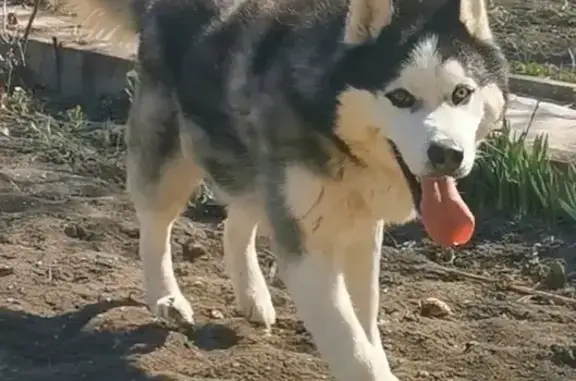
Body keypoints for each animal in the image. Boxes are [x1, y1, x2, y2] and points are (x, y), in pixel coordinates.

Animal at [60, 0, 506, 378]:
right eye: (400, 96)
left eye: (461, 93)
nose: (447, 154)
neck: (330, 127)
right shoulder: (308, 251)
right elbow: (353, 347)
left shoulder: (361, 232)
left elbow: (365, 326)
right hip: (171, 160)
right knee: (156, 226)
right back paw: (166, 298)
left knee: (236, 224)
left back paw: (252, 296)